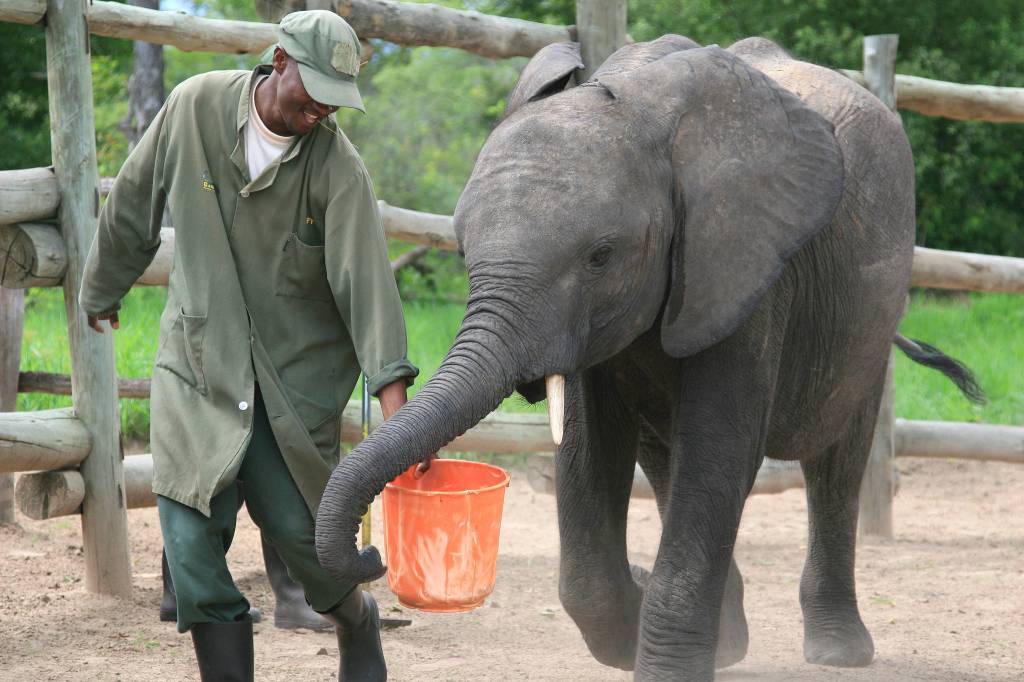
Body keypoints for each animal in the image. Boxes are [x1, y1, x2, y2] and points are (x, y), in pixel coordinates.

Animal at [315, 36, 983, 680]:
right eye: (460, 249)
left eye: (601, 256)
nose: (370, 554)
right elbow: (591, 447)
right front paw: (637, 626)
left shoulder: (745, 264)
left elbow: (718, 445)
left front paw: (660, 656)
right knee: (667, 462)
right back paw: (730, 644)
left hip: (870, 319)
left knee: (835, 459)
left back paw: (838, 653)